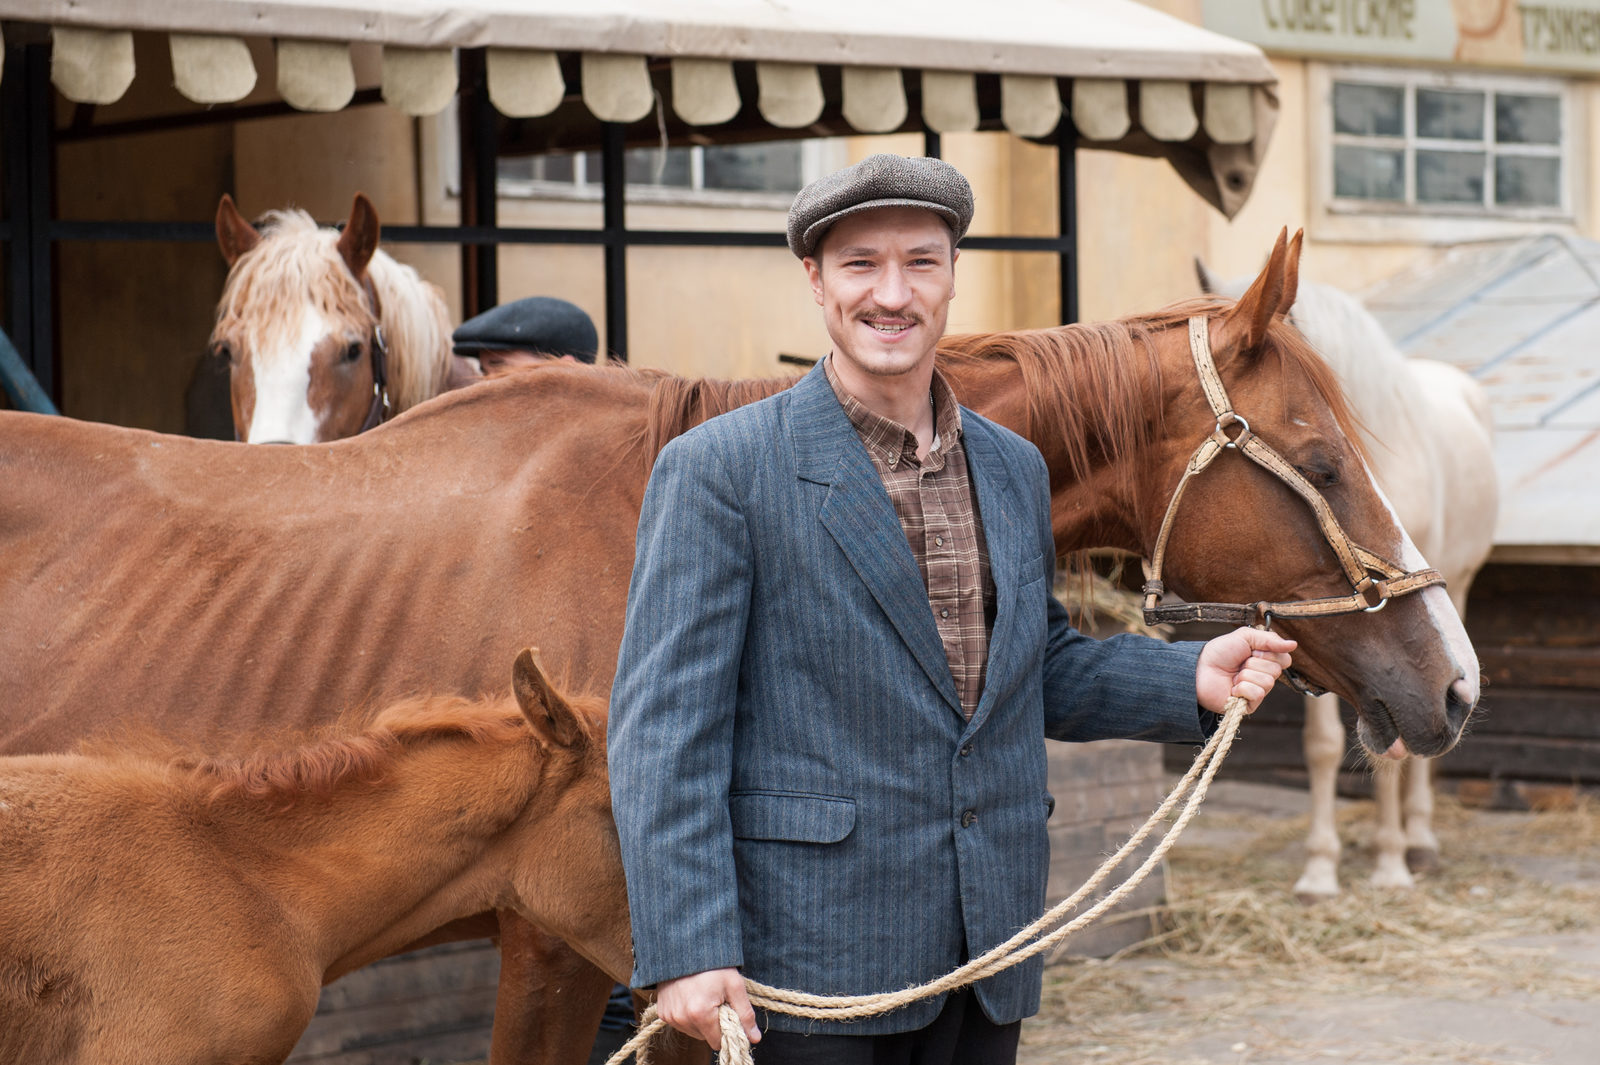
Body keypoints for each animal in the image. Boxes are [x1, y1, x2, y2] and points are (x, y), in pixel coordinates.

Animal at [1203, 259, 1497, 895]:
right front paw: (1320, 868)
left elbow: (1395, 751)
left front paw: (1390, 864)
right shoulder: (1323, 625)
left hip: (1460, 587)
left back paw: (1418, 840)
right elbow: (1325, 746)